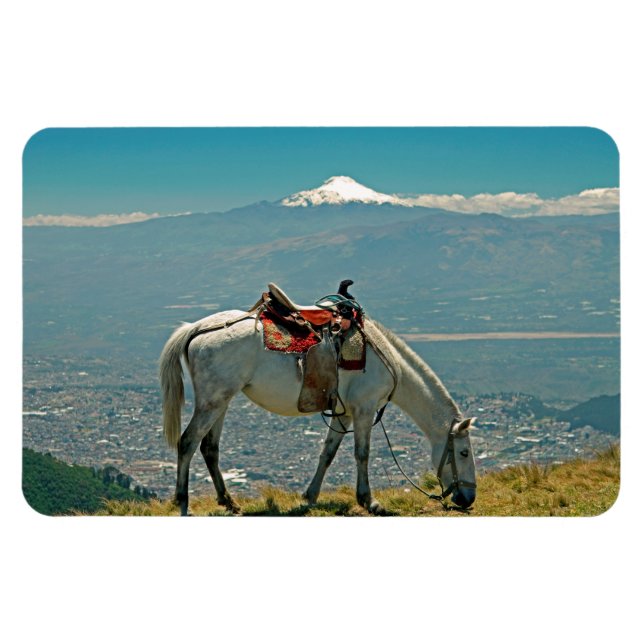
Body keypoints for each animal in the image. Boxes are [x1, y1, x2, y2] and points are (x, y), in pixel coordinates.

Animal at [159, 309, 477, 516]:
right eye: (463, 453)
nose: (468, 498)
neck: (387, 360)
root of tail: (196, 329)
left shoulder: (343, 413)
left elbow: (328, 453)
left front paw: (310, 495)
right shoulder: (364, 410)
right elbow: (362, 454)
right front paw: (370, 502)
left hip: (221, 401)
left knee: (209, 448)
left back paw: (229, 502)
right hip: (212, 401)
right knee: (187, 442)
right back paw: (183, 502)